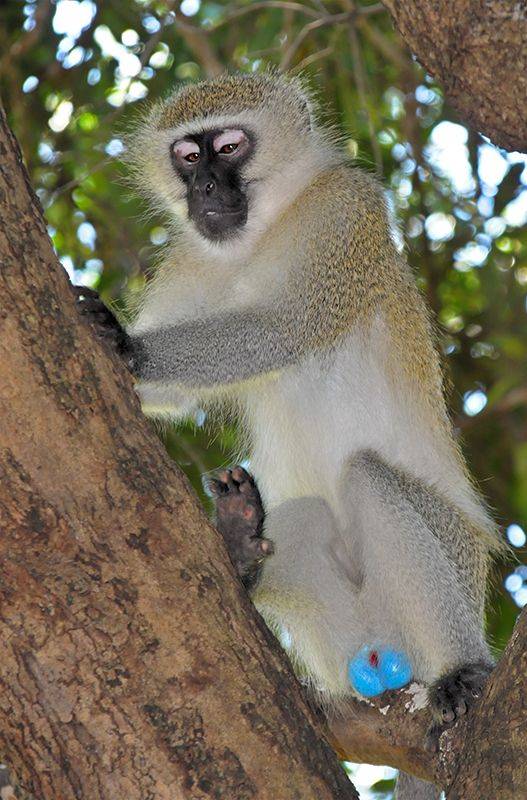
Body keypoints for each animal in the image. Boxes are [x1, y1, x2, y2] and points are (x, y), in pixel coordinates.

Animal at [76, 72, 502, 796]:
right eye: (186, 156)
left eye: (228, 146)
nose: (204, 189)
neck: (265, 230)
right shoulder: (191, 258)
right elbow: (170, 397)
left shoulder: (344, 213)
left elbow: (278, 329)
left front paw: (128, 345)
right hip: (341, 638)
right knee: (301, 519)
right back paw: (241, 544)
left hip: (455, 563)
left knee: (369, 478)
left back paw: (457, 670)